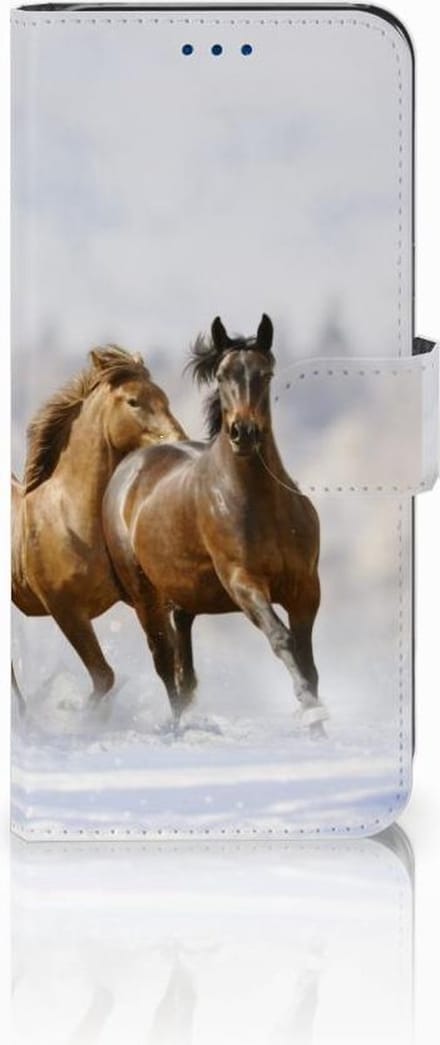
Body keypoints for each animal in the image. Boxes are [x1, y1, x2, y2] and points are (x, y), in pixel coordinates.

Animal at [12, 345, 186, 705]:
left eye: (164, 397)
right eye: (133, 401)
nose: (178, 441)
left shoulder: (144, 598)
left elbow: (168, 659)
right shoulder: (66, 611)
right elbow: (104, 677)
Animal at [102, 316, 327, 735]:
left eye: (265, 373)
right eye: (222, 376)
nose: (243, 432)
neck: (261, 506)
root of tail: (129, 467)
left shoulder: (306, 588)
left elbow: (307, 658)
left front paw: (318, 723)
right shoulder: (243, 582)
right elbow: (281, 639)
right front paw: (309, 709)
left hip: (184, 595)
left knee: (183, 663)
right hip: (144, 594)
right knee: (164, 661)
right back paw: (178, 728)